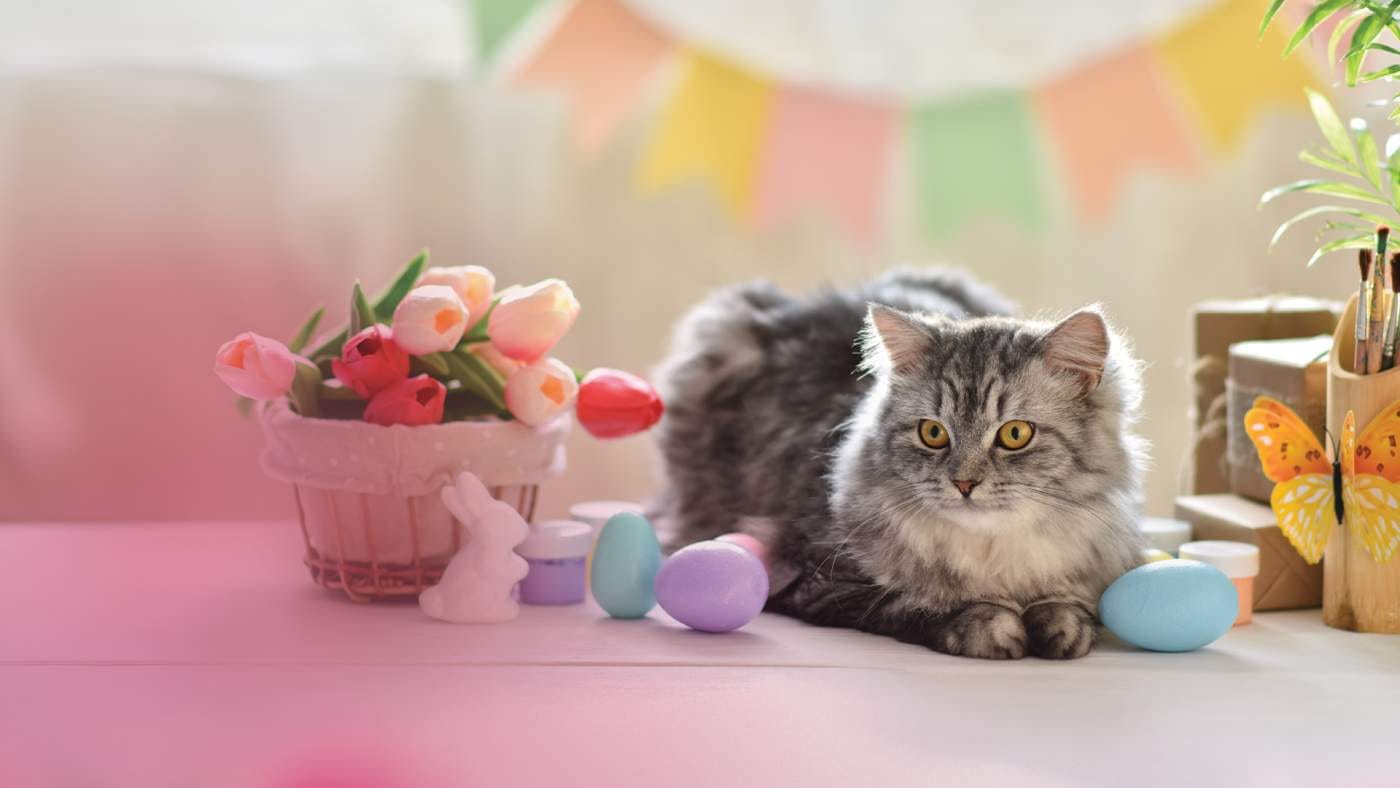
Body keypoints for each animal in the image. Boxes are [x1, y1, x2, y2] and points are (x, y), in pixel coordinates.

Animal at [652, 268, 1146, 659]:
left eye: (1014, 435)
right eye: (933, 433)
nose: (964, 483)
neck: (991, 556)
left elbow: (1067, 606)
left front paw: (1062, 627)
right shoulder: (815, 577)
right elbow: (916, 604)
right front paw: (990, 625)